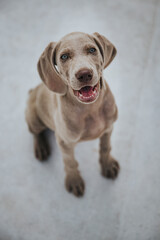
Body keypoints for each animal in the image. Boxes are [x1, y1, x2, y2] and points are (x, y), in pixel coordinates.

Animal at [25, 31, 119, 197]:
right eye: (64, 56)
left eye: (92, 50)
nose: (84, 74)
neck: (90, 109)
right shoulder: (64, 142)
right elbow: (70, 162)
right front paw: (74, 180)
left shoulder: (108, 128)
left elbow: (105, 147)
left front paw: (107, 165)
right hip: (34, 118)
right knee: (35, 133)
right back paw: (41, 147)